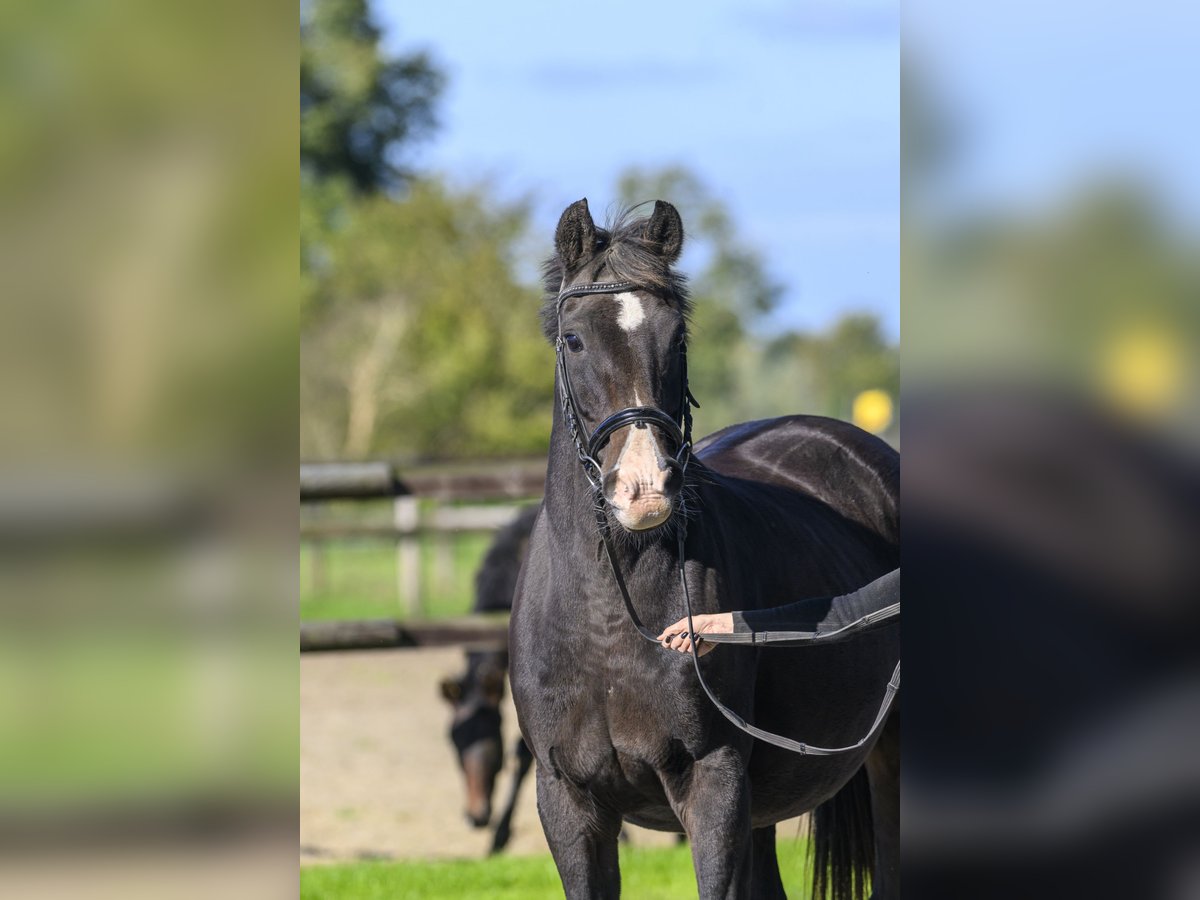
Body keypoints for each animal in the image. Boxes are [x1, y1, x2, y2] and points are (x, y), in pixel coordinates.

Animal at [508, 200, 902, 897]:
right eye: (574, 340)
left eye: (678, 339)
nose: (644, 490)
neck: (610, 618)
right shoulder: (568, 801)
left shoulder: (713, 786)